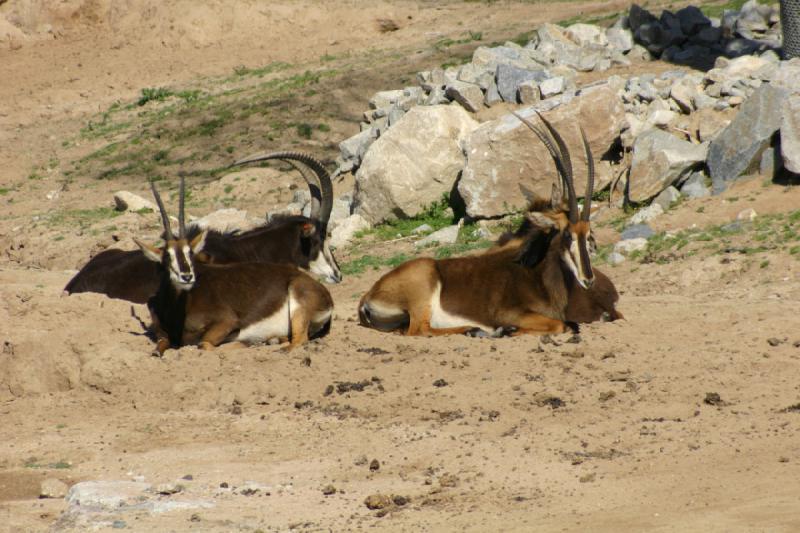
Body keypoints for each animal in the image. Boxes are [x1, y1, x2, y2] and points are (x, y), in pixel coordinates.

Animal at [139, 177, 332, 356]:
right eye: (167, 256)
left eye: (190, 254)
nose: (187, 277)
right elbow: (161, 344)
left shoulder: (228, 321)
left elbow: (204, 343)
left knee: (300, 339)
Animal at [360, 109, 620, 336]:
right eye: (566, 234)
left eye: (589, 233)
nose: (588, 279)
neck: (536, 273)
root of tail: (369, 295)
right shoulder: (510, 313)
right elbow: (559, 324)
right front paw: (509, 330)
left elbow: (568, 323)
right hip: (423, 290)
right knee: (419, 330)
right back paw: (476, 329)